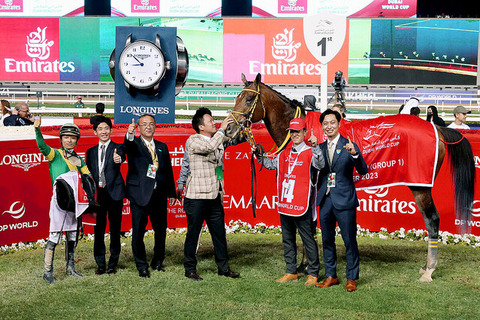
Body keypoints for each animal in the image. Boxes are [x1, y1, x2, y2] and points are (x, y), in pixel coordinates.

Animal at [229, 73, 476, 282]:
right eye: (236, 97)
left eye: (249, 99)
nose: (229, 127)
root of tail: (437, 129)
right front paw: (304, 264)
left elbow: (308, 225)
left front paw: (308, 266)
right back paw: (426, 266)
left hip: (420, 186)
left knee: (432, 220)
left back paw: (429, 270)